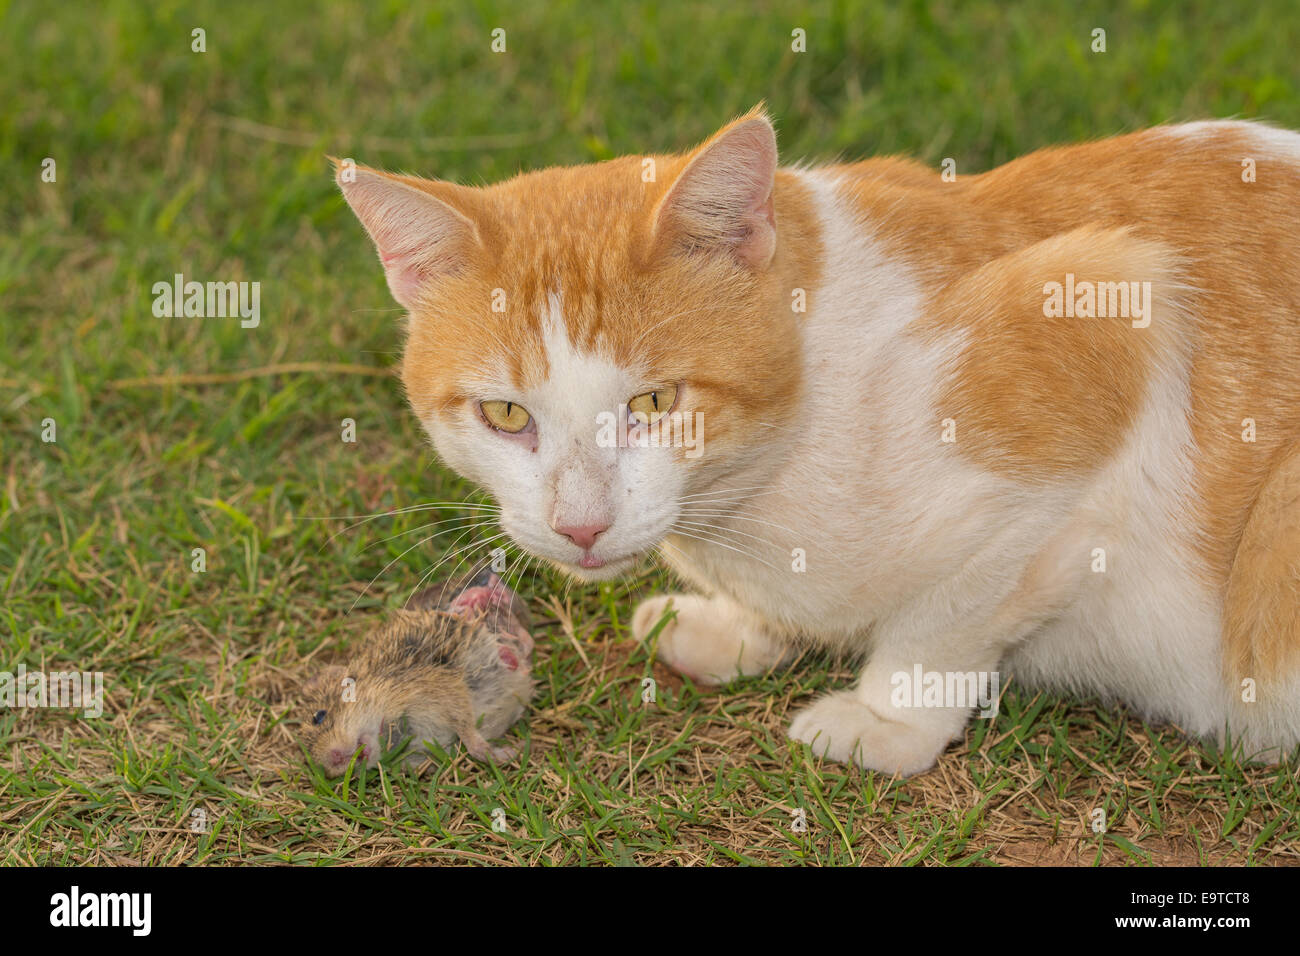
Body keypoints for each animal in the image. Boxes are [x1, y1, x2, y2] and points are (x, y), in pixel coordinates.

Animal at [338, 106, 1300, 780]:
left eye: (656, 400)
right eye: (506, 416)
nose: (580, 526)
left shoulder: (1112, 305)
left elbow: (947, 617)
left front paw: (888, 720)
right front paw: (735, 631)